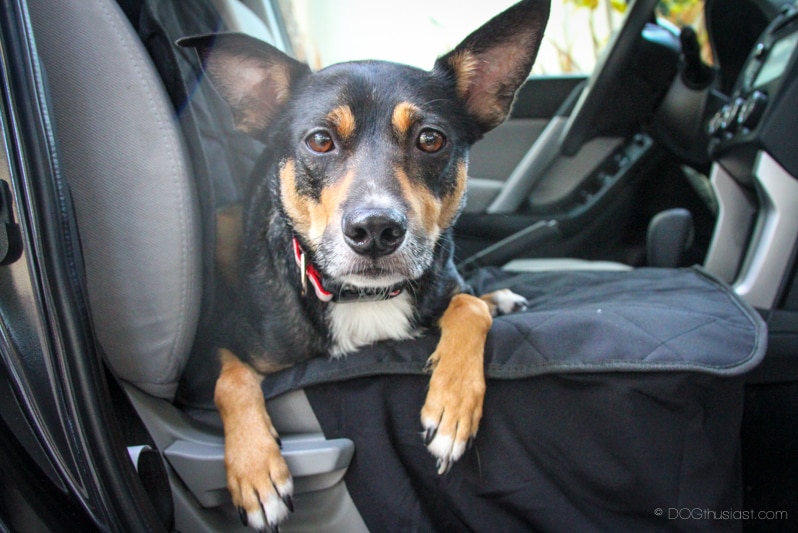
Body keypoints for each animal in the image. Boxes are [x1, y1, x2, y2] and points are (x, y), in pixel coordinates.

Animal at [180, 2, 552, 528]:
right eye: (320, 140)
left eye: (430, 139)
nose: (375, 230)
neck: (365, 296)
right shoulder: (220, 343)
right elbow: (229, 381)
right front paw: (256, 472)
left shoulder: (446, 282)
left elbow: (467, 307)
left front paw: (452, 402)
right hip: (223, 223)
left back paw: (497, 297)